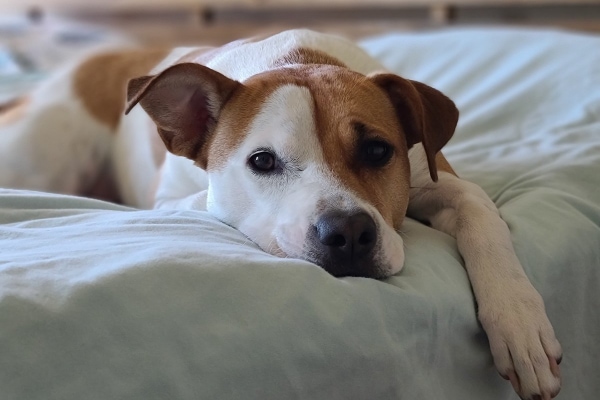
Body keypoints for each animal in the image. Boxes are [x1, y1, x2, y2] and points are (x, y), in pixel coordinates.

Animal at [0, 29, 564, 398]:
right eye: (262, 161)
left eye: (378, 151)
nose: (349, 233)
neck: (295, 59)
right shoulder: (177, 200)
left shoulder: (441, 181)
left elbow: (481, 216)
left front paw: (520, 325)